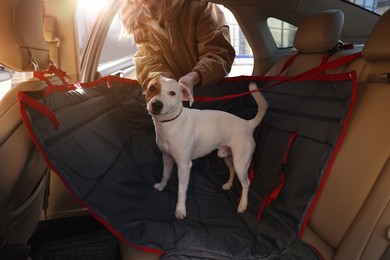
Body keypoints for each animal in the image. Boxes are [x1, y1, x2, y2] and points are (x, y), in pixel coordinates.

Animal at [145, 75, 266, 219]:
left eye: (172, 93)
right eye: (152, 88)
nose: (156, 104)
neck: (170, 124)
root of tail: (248, 124)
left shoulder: (184, 166)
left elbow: (181, 191)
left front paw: (180, 210)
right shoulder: (167, 157)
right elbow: (165, 174)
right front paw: (162, 186)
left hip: (241, 163)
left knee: (246, 183)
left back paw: (243, 204)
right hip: (227, 156)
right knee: (232, 171)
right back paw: (228, 185)